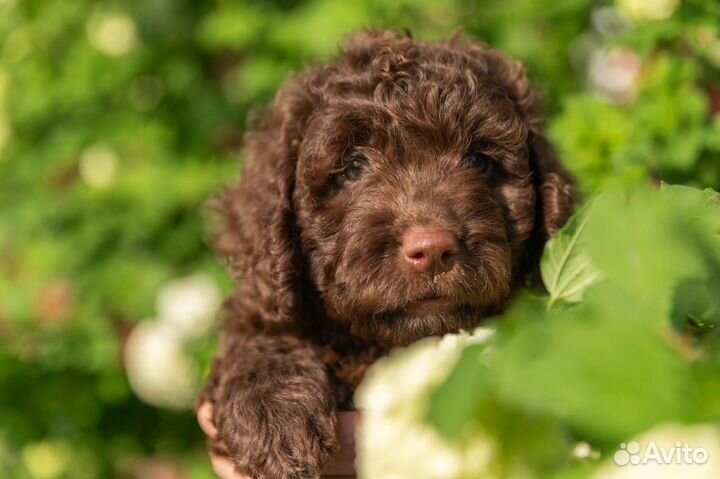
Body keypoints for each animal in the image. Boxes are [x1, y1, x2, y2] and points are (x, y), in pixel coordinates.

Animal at [201, 30, 572, 479]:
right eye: (354, 167)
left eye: (478, 160)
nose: (432, 249)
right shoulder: (263, 305)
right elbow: (258, 339)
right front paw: (274, 416)